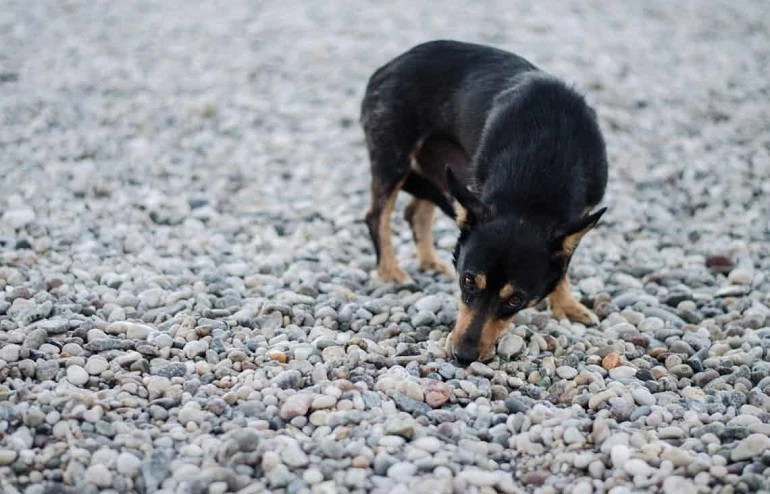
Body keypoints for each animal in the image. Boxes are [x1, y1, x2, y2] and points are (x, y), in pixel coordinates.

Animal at [360, 39, 608, 362]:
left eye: (516, 300)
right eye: (467, 280)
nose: (463, 355)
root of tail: (389, 65)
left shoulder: (578, 216)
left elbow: (563, 266)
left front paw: (566, 304)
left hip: (441, 167)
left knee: (416, 212)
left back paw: (429, 261)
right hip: (394, 157)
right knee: (377, 215)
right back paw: (390, 272)